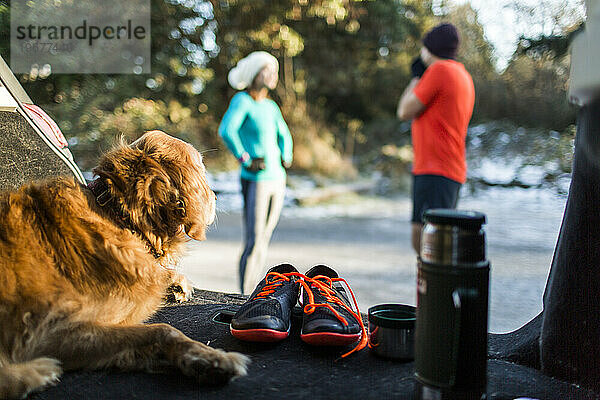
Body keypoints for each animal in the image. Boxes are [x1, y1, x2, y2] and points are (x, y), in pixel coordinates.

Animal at [0, 130, 250, 396]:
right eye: (201, 168)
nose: (215, 196)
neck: (117, 217)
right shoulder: (50, 332)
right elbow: (163, 329)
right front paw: (211, 357)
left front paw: (176, 283)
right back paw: (35, 373)